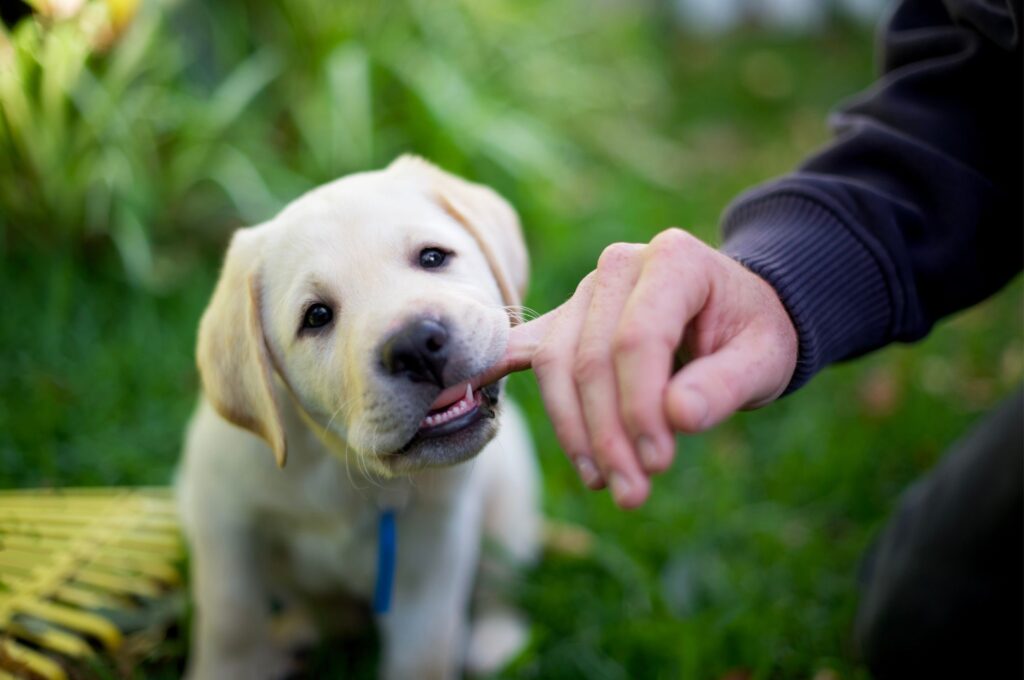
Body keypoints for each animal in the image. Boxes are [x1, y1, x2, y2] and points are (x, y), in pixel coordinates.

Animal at [176, 156, 544, 675]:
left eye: (433, 258)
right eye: (316, 316)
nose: (416, 344)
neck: (340, 463)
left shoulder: (432, 547)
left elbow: (424, 651)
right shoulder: (222, 519)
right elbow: (232, 617)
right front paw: (231, 668)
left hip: (511, 499)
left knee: (502, 579)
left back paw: (497, 643)